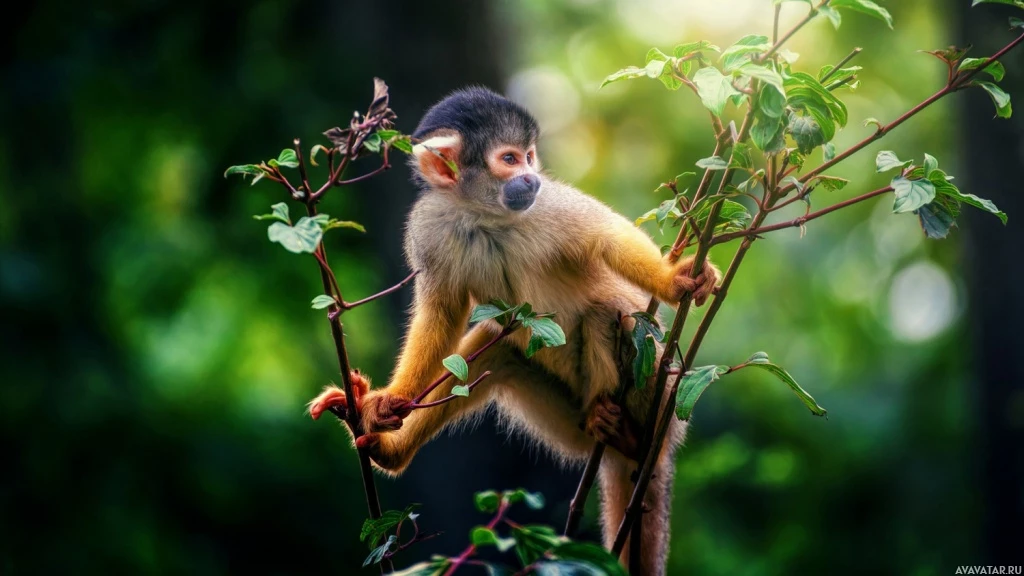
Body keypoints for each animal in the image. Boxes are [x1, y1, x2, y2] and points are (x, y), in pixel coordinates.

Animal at [309, 87, 720, 569]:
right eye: (508, 159)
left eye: (528, 157)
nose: (530, 178)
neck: (485, 215)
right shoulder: (429, 227)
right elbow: (441, 316)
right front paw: (390, 402)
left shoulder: (551, 204)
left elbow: (607, 239)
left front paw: (674, 281)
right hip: (565, 423)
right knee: (498, 351)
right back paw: (391, 452)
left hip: (658, 394)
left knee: (609, 311)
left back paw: (622, 428)